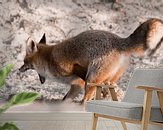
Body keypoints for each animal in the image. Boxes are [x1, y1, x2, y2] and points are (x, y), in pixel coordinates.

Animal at [19, 18, 163, 103]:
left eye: (24, 61)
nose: (19, 69)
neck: (49, 59)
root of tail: (120, 40)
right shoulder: (76, 85)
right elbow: (64, 100)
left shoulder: (75, 72)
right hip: (109, 79)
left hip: (93, 79)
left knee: (86, 100)